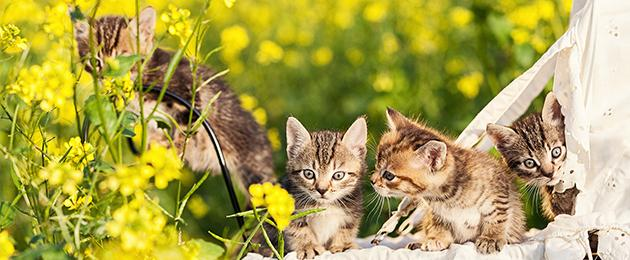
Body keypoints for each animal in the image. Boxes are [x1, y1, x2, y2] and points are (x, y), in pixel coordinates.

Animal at [70, 6, 276, 189]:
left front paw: (170, 154)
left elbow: (184, 132)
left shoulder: (191, 96)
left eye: (122, 59)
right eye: (95, 61)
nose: (108, 78)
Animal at [284, 117, 368, 260]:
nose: (322, 190)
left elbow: (346, 229)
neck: (325, 206)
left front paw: (342, 245)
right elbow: (298, 228)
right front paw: (308, 246)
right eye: (308, 174)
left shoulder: (352, 210)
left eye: (338, 175)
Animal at [370, 108, 528, 255]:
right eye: (377, 164)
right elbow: (438, 225)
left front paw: (491, 238)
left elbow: (497, 217)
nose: (372, 181)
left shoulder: (498, 193)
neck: (447, 197)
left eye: (389, 175)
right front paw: (436, 239)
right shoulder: (436, 214)